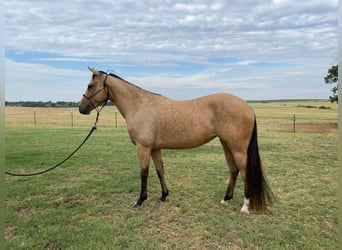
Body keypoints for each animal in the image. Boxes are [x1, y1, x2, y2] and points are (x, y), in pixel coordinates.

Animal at [78, 67, 272, 214]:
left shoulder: (143, 148)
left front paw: (140, 200)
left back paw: (245, 207)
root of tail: (247, 106)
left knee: (245, 172)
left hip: (238, 148)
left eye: (90, 85)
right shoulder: (155, 148)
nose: (81, 108)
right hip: (226, 145)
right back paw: (226, 199)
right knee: (233, 170)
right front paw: (164, 196)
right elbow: (160, 171)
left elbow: (144, 173)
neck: (139, 105)